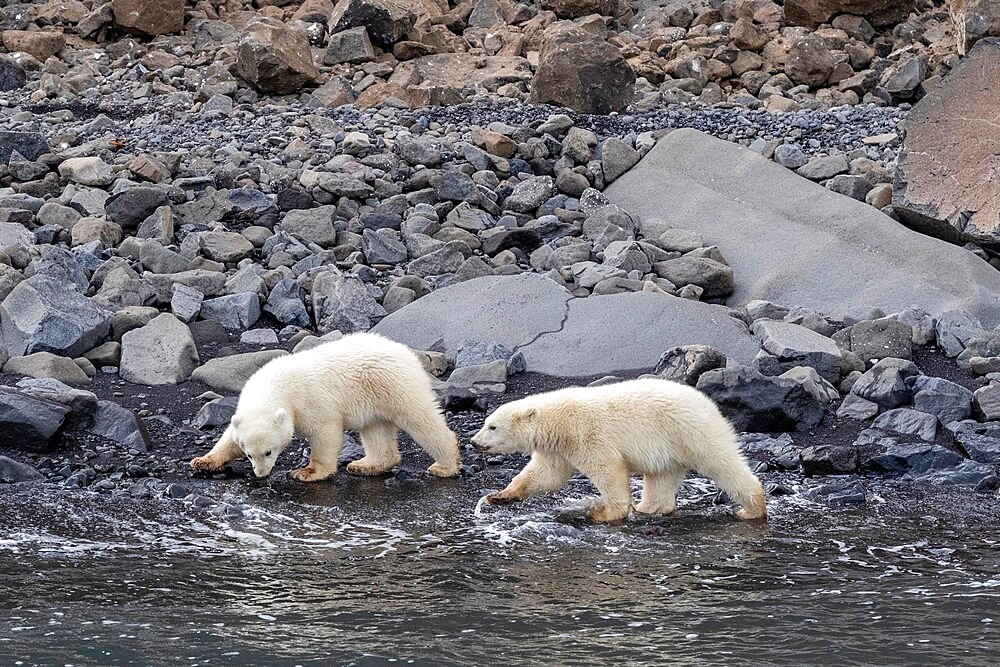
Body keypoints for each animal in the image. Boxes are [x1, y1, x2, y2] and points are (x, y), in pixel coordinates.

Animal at [189, 332, 462, 480]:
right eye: (249, 454)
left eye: (268, 451)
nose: (261, 474)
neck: (277, 384)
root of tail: (404, 351)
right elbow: (229, 438)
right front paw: (203, 461)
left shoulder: (309, 400)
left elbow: (325, 431)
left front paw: (307, 472)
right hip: (374, 396)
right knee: (375, 429)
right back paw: (366, 465)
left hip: (395, 384)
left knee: (419, 418)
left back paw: (444, 465)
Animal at [472, 378, 768, 524]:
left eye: (492, 426)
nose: (474, 442)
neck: (558, 420)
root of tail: (707, 402)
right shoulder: (558, 448)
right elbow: (546, 475)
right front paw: (500, 495)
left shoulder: (585, 434)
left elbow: (608, 469)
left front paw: (603, 513)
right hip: (669, 445)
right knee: (662, 475)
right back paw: (649, 508)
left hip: (690, 431)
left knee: (721, 461)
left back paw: (751, 509)